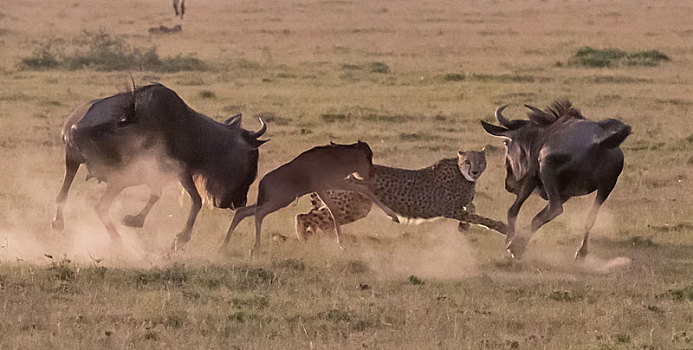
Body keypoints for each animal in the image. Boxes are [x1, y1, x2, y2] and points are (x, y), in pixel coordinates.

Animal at [294, 149, 506, 239]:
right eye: (468, 162)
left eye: (481, 162)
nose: (475, 172)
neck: (461, 174)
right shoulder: (449, 209)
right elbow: (480, 217)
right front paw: (502, 227)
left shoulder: (458, 206)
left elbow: (472, 208)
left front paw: (464, 227)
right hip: (353, 206)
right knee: (303, 217)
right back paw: (304, 239)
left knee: (321, 221)